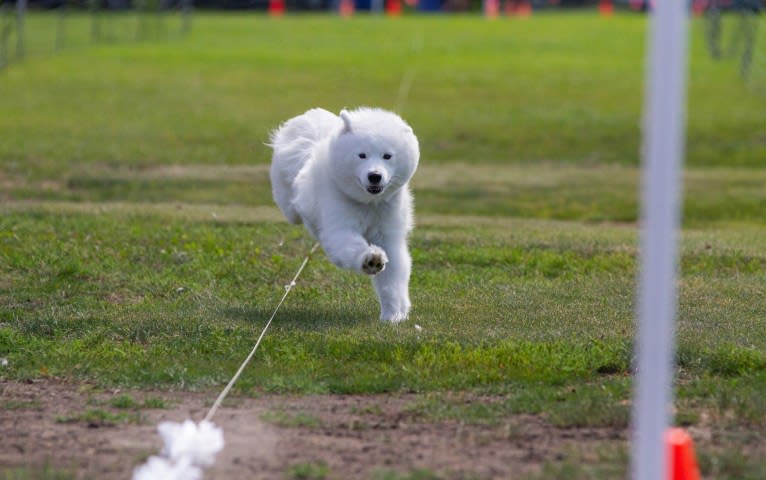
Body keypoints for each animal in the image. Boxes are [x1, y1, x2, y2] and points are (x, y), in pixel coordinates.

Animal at [272, 107, 420, 324]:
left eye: (387, 156)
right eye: (362, 155)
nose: (374, 176)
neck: (368, 203)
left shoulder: (388, 235)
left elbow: (392, 279)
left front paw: (393, 315)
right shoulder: (339, 227)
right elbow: (352, 245)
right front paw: (371, 259)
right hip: (288, 202)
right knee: (291, 210)